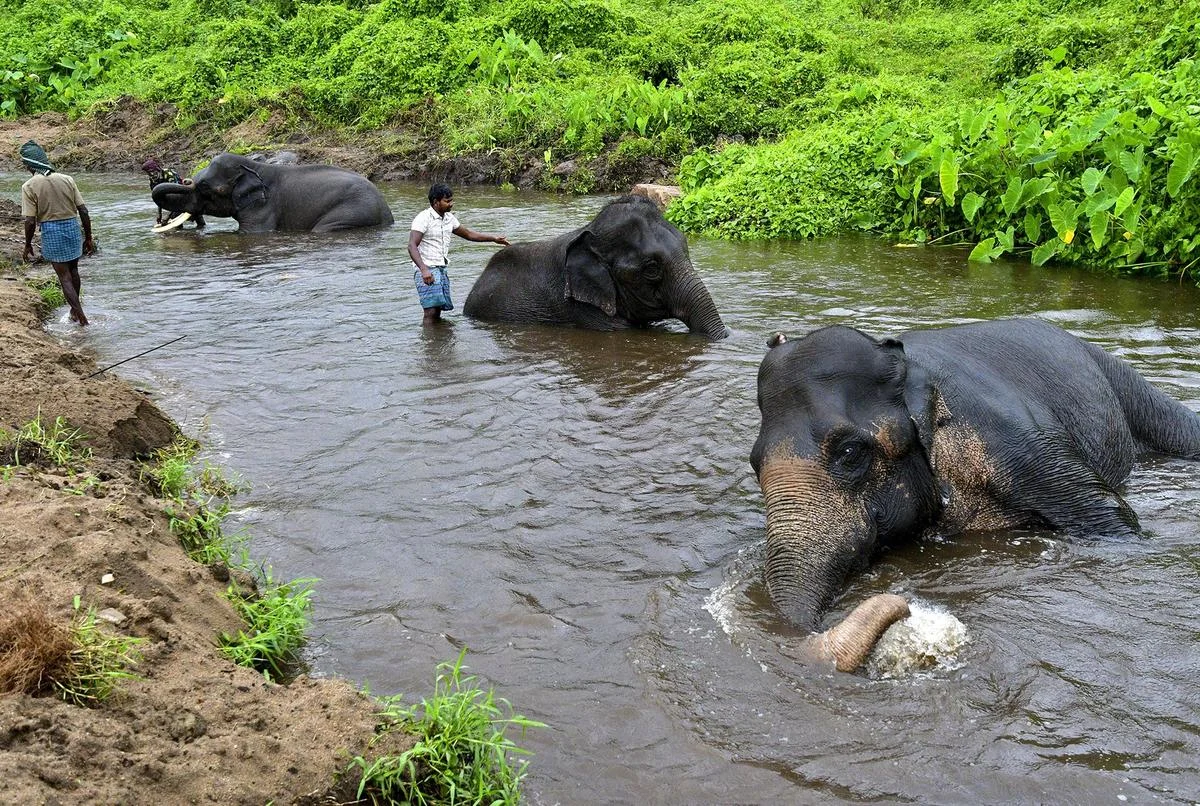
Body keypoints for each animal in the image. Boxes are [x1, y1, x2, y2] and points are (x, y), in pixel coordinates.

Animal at [150, 152, 394, 233]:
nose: (185, 179)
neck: (254, 167)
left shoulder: (263, 208)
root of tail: (387, 213)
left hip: (352, 212)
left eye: (205, 188)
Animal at [749, 318, 1200, 672]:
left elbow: (1114, 518)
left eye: (848, 452)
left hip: (1125, 383)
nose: (905, 606)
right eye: (754, 463)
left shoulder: (1019, 444)